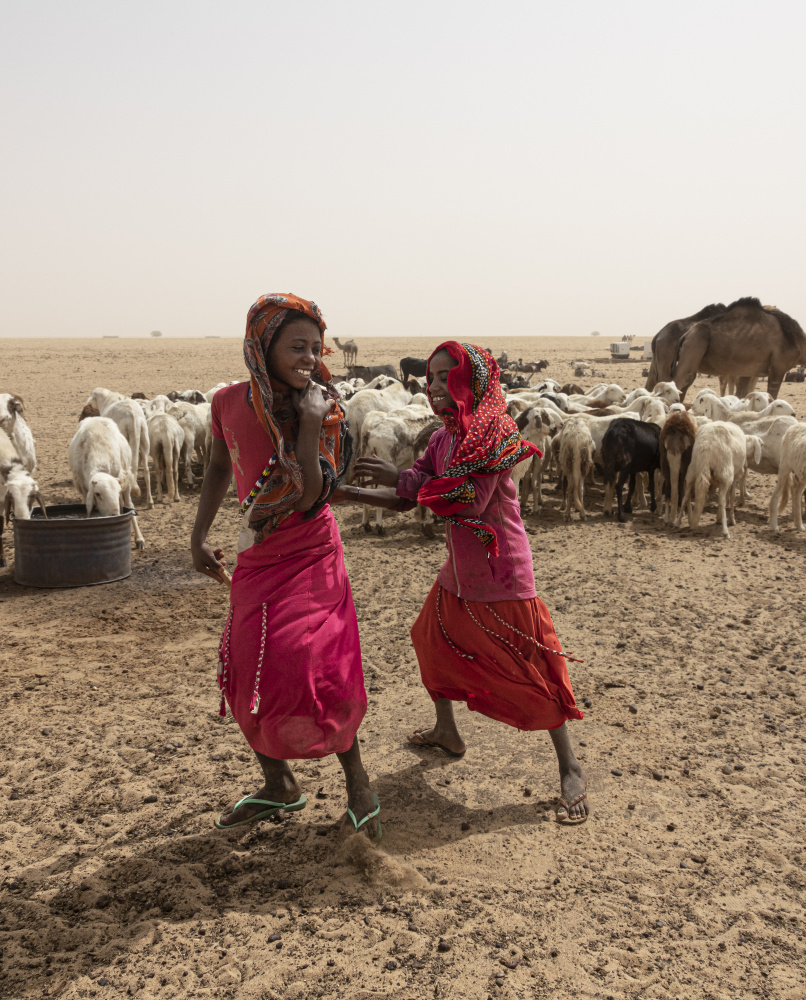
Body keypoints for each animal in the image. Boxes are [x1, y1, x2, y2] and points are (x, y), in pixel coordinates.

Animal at [68, 418, 147, 552]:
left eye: (118, 492)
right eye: (97, 494)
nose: (114, 515)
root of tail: (96, 417)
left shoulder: (122, 478)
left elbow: (126, 504)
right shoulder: (83, 487)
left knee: (128, 503)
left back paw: (139, 539)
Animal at [668, 296, 806, 402]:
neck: (797, 339)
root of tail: (685, 335)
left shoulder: (749, 370)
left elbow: (743, 394)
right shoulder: (778, 368)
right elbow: (772, 396)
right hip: (694, 346)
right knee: (682, 379)